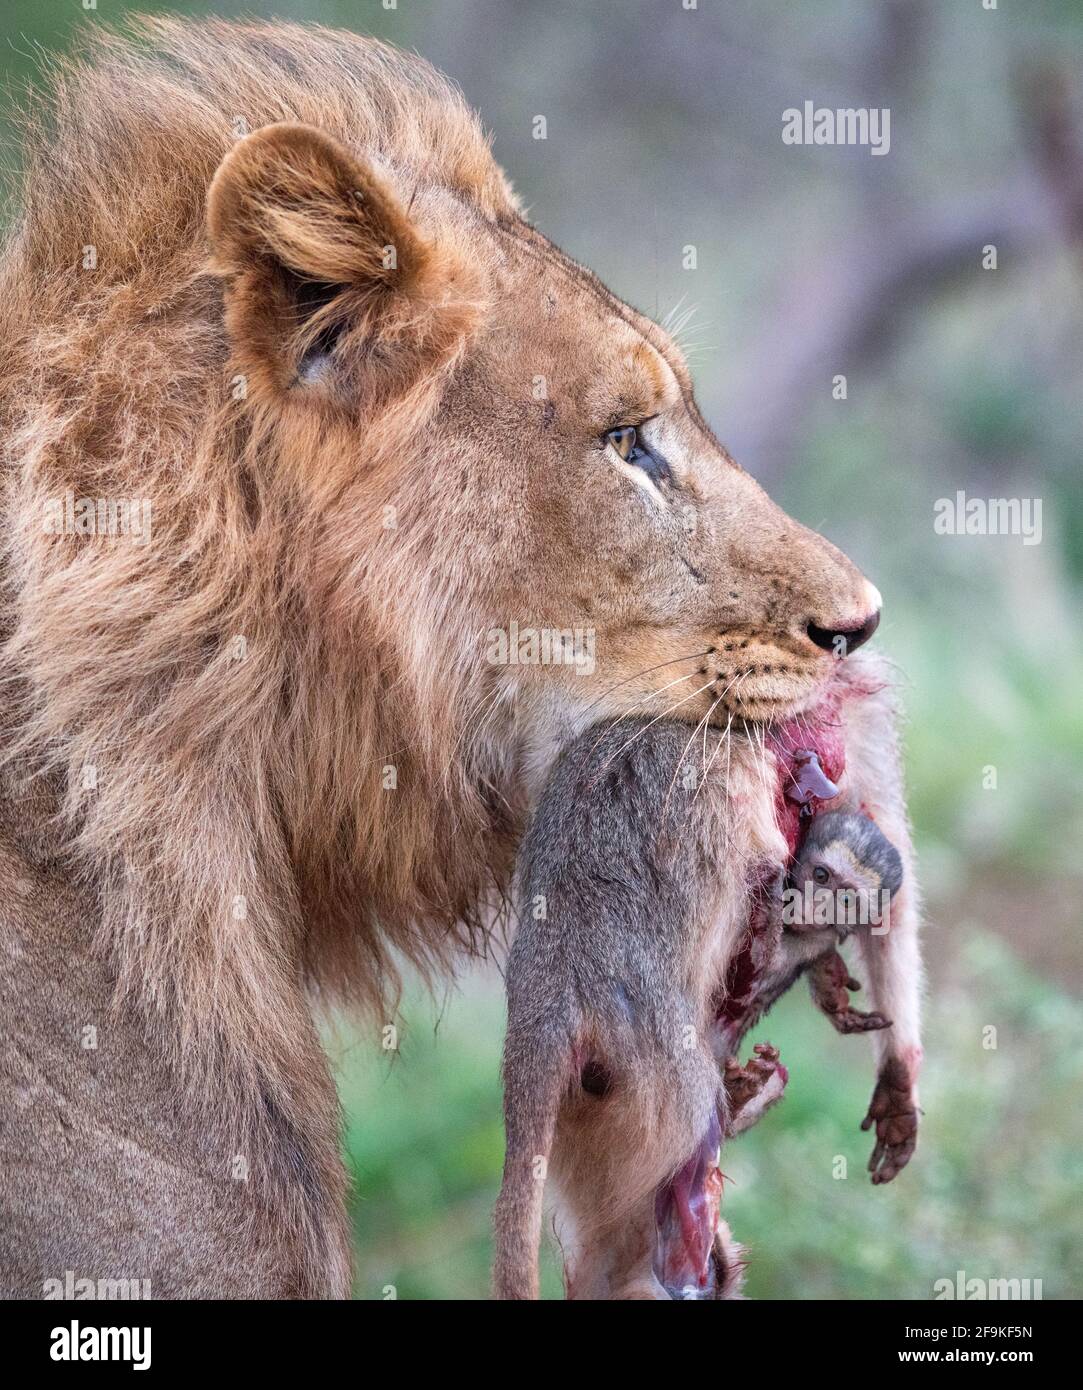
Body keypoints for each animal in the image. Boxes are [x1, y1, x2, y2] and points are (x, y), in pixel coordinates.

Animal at [494, 656, 922, 1300]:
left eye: (839, 891)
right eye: (820, 876)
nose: (818, 777)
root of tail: (551, 982)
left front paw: (897, 1075)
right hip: (654, 1068)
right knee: (690, 1136)